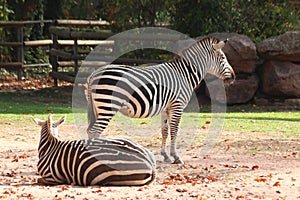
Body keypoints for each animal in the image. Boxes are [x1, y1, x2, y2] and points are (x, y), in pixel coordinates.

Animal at [85, 36, 234, 164]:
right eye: (222, 58)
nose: (233, 77)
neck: (184, 75)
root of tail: (93, 74)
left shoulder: (166, 107)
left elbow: (165, 131)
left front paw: (166, 156)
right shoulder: (177, 106)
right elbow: (174, 130)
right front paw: (176, 157)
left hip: (98, 108)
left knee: (90, 130)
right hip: (107, 106)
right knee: (94, 131)